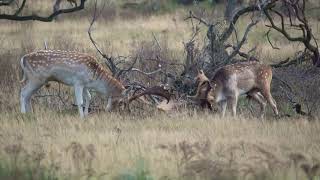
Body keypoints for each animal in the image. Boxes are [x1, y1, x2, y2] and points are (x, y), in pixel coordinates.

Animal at [19, 49, 170, 118]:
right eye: (122, 102)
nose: (125, 112)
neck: (95, 78)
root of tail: (22, 58)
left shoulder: (86, 84)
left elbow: (89, 98)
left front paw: (86, 115)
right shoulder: (78, 82)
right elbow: (80, 101)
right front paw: (81, 117)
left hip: (38, 80)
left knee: (28, 95)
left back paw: (30, 113)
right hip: (35, 78)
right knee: (23, 92)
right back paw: (23, 113)